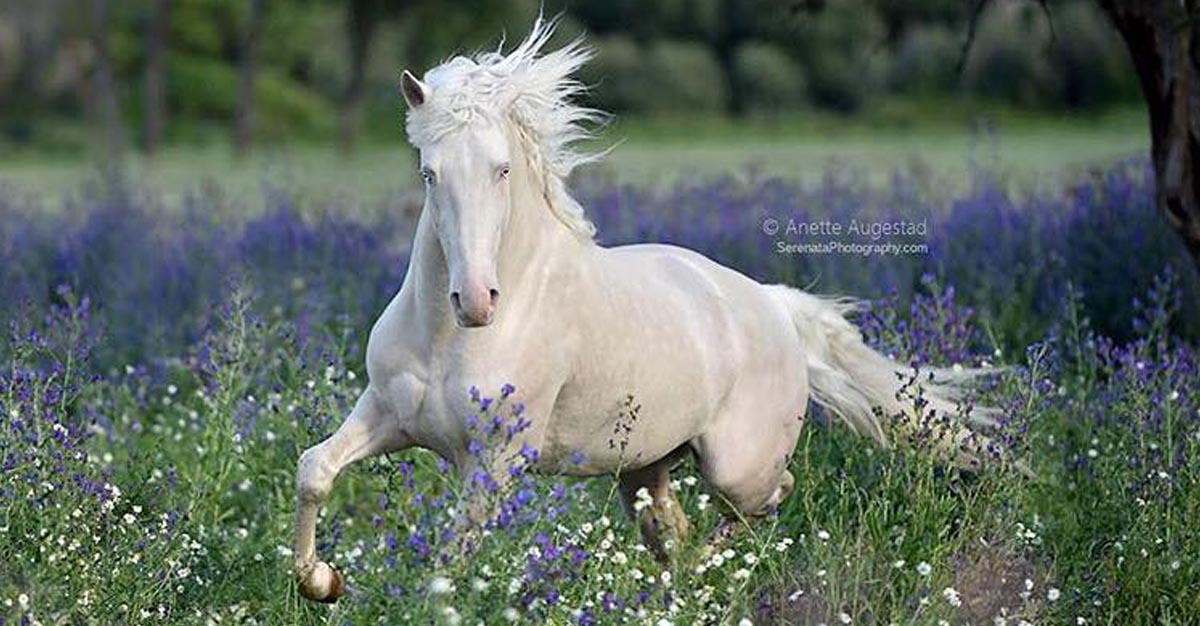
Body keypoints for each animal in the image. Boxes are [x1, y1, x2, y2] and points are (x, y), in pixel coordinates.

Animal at [292, 19, 993, 599]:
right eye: (429, 172)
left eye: (502, 170)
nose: (475, 300)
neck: (450, 339)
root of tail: (772, 304)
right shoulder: (386, 413)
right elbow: (314, 470)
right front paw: (323, 581)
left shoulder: (494, 463)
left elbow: (448, 561)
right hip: (643, 466)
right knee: (671, 525)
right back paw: (675, 584)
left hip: (736, 464)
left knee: (764, 501)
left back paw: (704, 572)